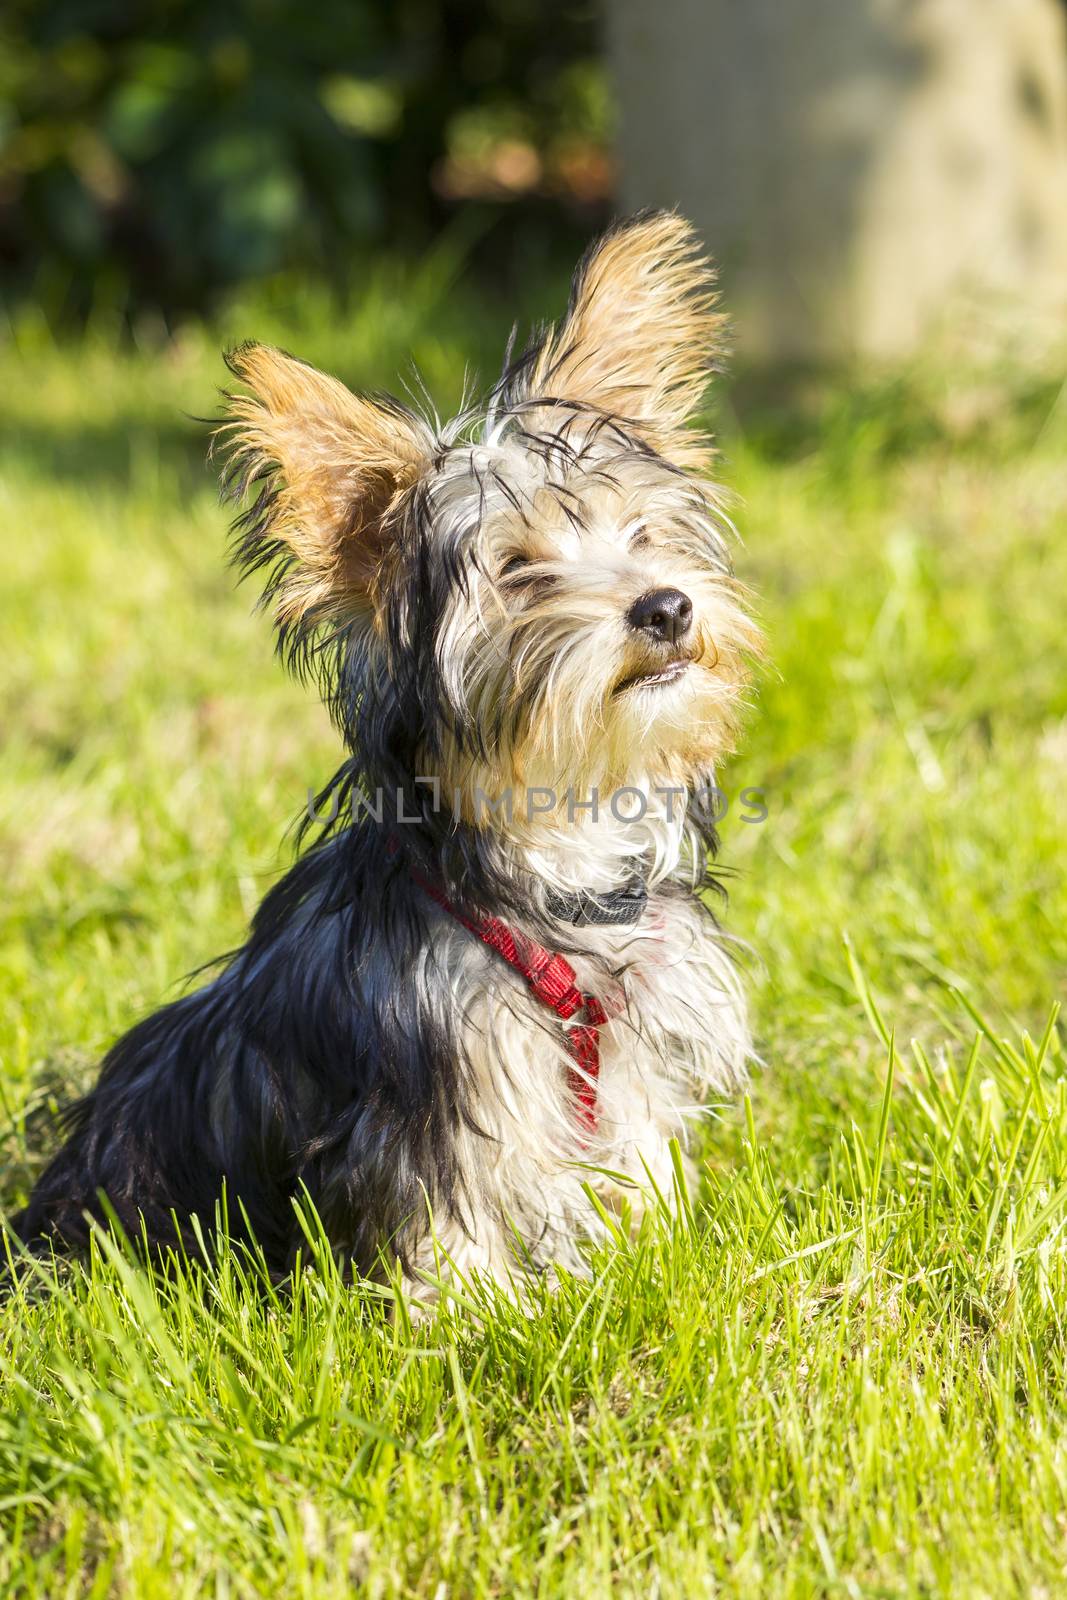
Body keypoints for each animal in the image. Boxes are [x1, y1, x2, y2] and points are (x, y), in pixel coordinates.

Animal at [18, 212, 767, 1292]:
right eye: (518, 571)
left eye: (641, 534)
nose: (664, 606)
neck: (555, 871)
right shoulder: (426, 1098)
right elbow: (441, 1218)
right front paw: (475, 1311)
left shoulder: (627, 1055)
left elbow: (633, 1156)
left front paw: (653, 1253)